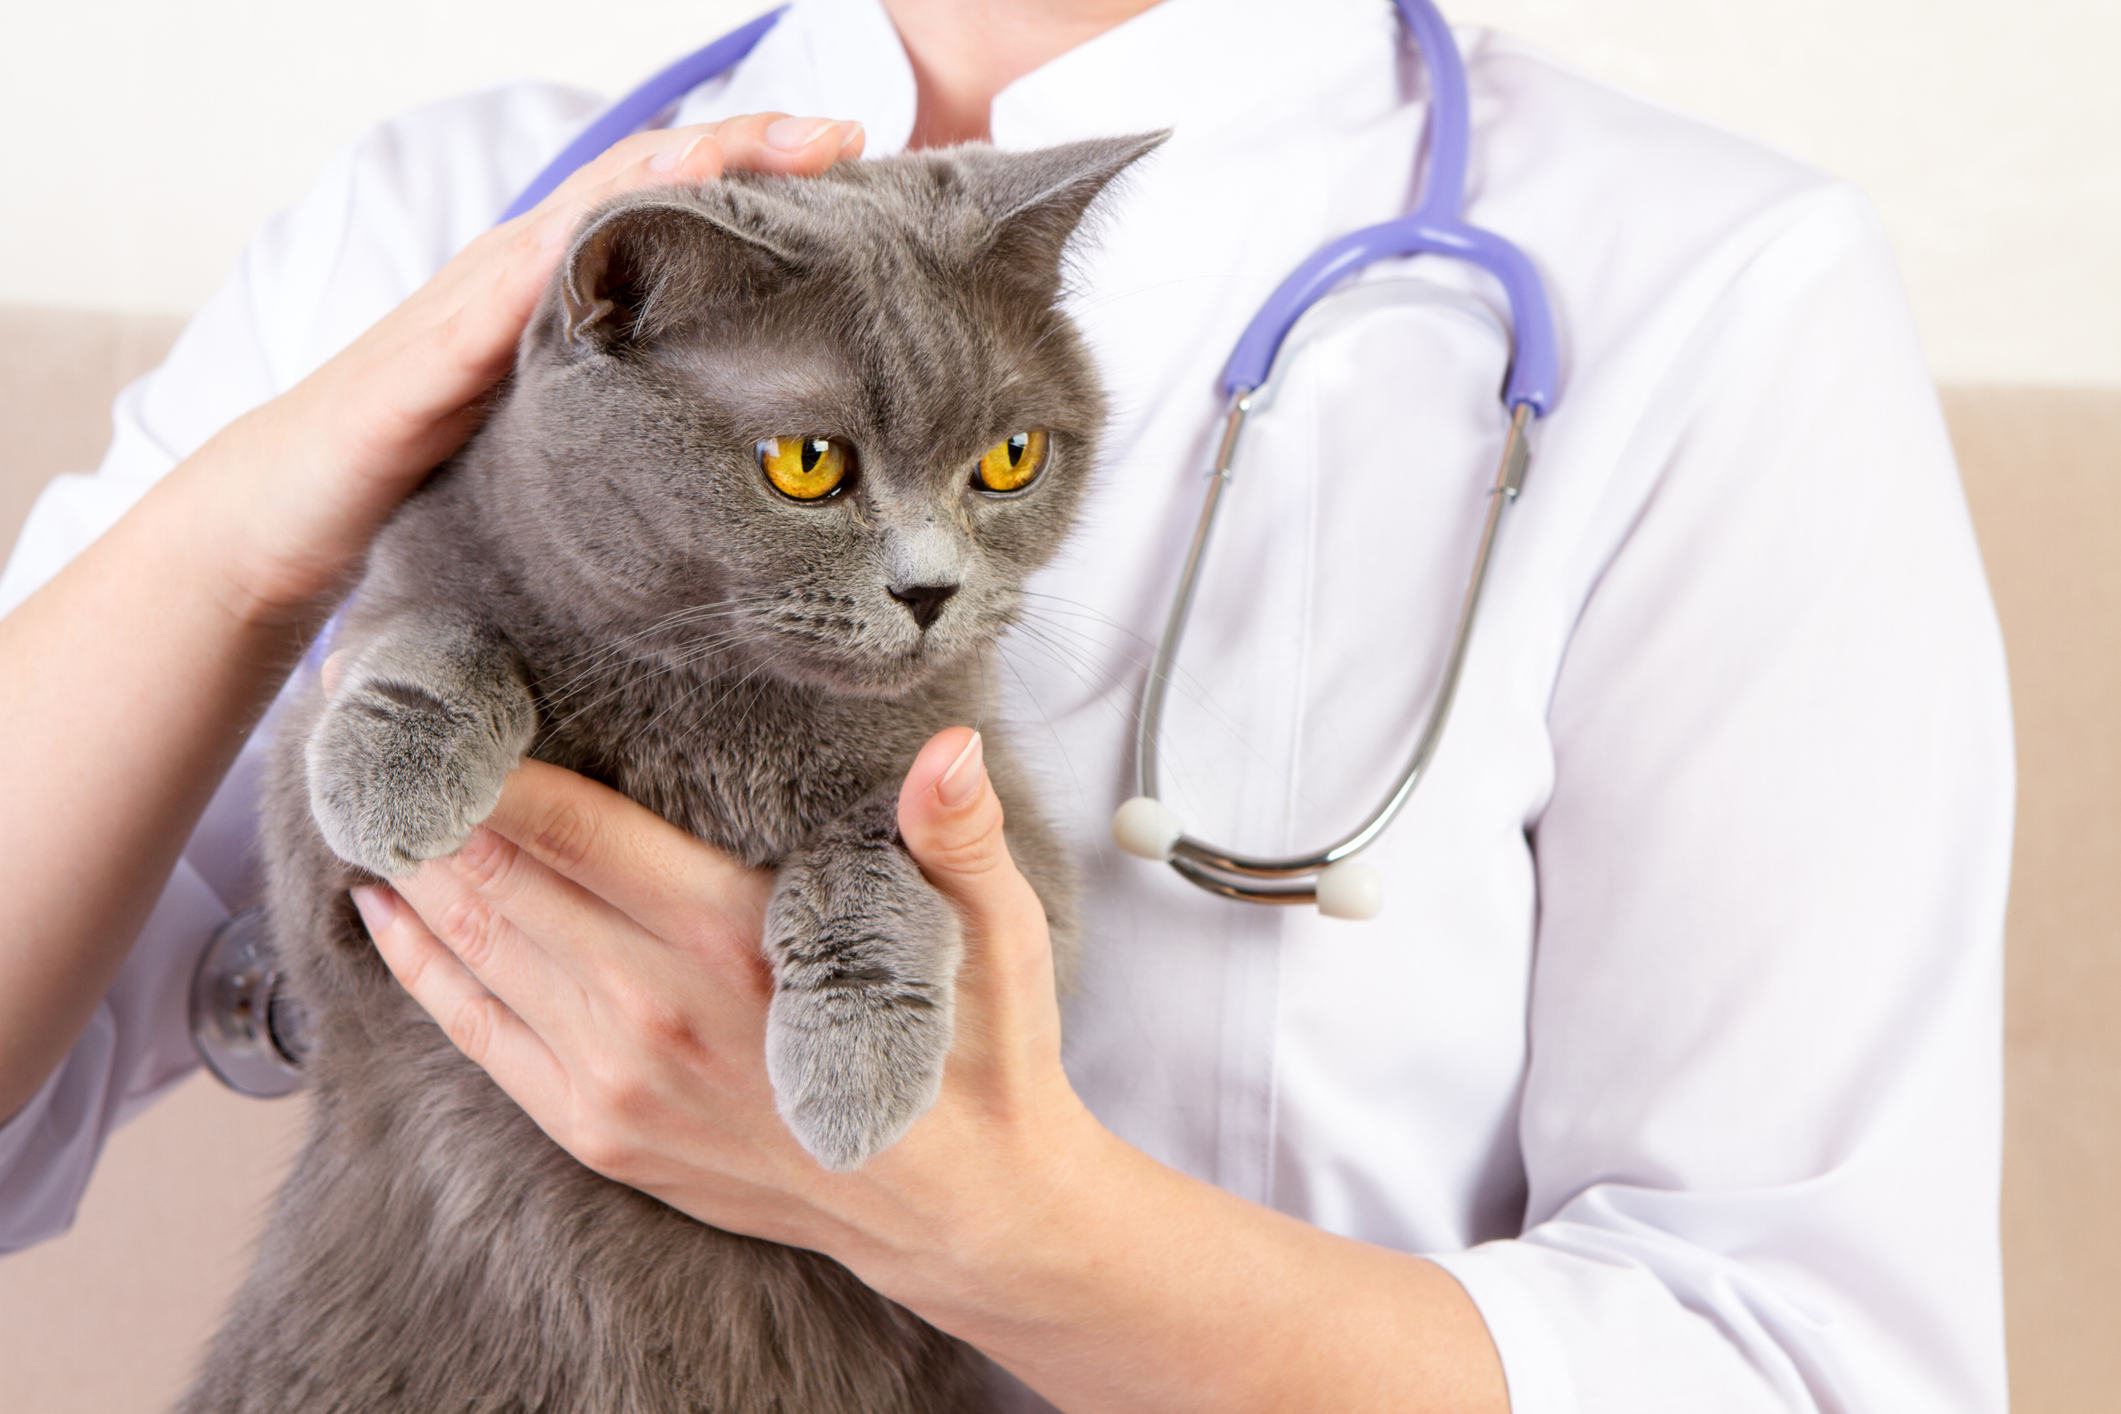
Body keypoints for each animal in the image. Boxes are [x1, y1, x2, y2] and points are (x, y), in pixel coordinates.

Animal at [178, 135, 1162, 1414]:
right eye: (807, 463)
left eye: (1010, 459)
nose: (931, 590)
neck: (711, 706)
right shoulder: (327, 908)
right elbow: (436, 625)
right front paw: (395, 769)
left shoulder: (1008, 833)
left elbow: (877, 852)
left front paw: (853, 1072)